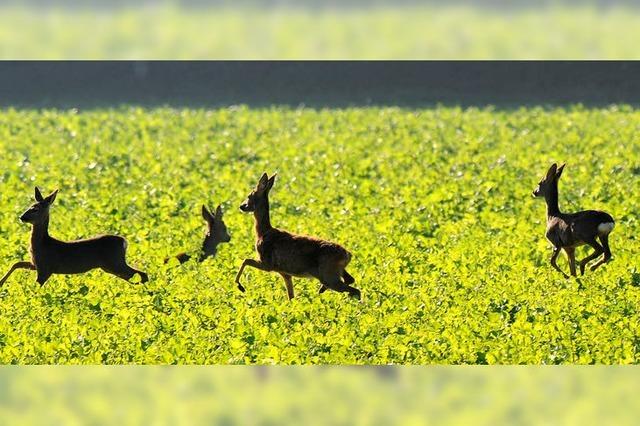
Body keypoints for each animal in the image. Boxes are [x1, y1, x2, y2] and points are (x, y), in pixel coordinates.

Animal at [0, 186, 149, 286]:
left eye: (35, 209)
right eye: (30, 205)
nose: (22, 217)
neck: (42, 244)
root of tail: (124, 241)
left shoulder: (45, 268)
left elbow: (36, 286)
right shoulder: (35, 264)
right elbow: (16, 263)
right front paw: (1, 283)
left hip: (114, 262)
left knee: (142, 274)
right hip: (109, 266)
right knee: (137, 275)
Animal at [234, 172, 360, 300]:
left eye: (249, 195)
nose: (241, 206)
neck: (263, 232)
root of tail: (348, 255)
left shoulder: (267, 263)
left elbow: (245, 260)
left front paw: (240, 286)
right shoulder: (285, 273)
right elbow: (291, 296)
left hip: (328, 273)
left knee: (354, 289)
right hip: (335, 271)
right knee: (350, 280)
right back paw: (323, 291)